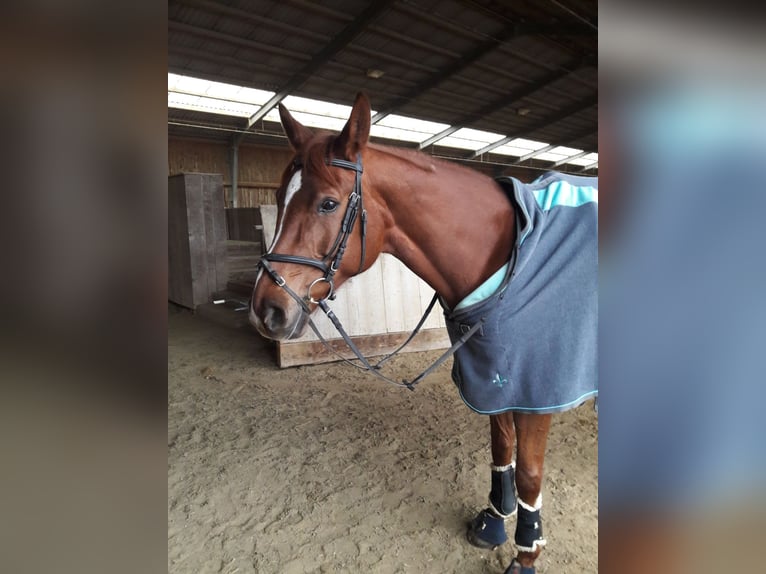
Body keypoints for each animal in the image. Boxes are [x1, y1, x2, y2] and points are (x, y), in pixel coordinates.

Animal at [252, 92, 600, 572]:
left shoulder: (539, 389)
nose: (266, 308)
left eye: (327, 204)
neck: (510, 255)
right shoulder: (494, 377)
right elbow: (500, 448)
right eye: (278, 197)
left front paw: (527, 551)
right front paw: (495, 521)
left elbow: (530, 473)